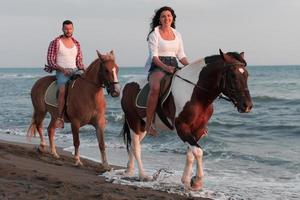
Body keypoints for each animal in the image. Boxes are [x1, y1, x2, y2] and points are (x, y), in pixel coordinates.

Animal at [120, 49, 252, 190]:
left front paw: (186, 180)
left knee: (134, 145)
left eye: (247, 75)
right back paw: (143, 175)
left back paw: (129, 170)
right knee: (136, 146)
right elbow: (198, 151)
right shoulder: (182, 127)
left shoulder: (197, 129)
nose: (247, 105)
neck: (196, 94)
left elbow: (191, 154)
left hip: (143, 126)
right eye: (233, 75)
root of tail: (128, 83)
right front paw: (197, 180)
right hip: (133, 121)